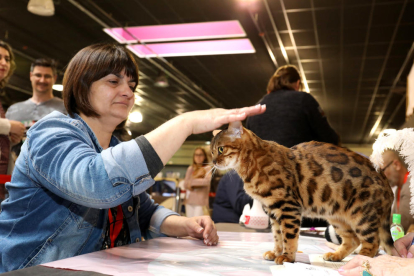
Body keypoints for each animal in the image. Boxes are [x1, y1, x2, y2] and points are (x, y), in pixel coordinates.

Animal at [212, 122, 392, 264]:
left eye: (221, 149)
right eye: (212, 151)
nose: (213, 161)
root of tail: (387, 183)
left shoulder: (288, 207)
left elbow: (289, 236)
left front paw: (287, 257)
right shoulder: (273, 210)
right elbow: (277, 236)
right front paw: (276, 252)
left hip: (362, 216)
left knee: (373, 244)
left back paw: (360, 259)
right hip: (337, 216)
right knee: (353, 240)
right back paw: (335, 255)